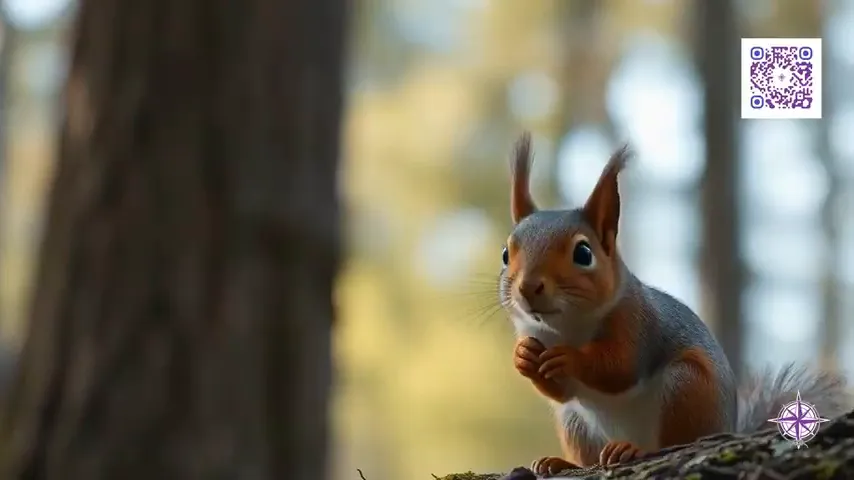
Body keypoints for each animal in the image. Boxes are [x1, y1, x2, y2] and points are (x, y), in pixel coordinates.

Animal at [498, 131, 851, 476]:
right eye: (505, 254)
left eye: (583, 253)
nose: (528, 287)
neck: (566, 327)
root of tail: (728, 425)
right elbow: (562, 391)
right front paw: (523, 356)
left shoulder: (636, 321)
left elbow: (619, 367)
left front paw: (569, 358)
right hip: (574, 421)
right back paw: (560, 463)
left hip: (686, 388)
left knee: (671, 441)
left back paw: (632, 450)